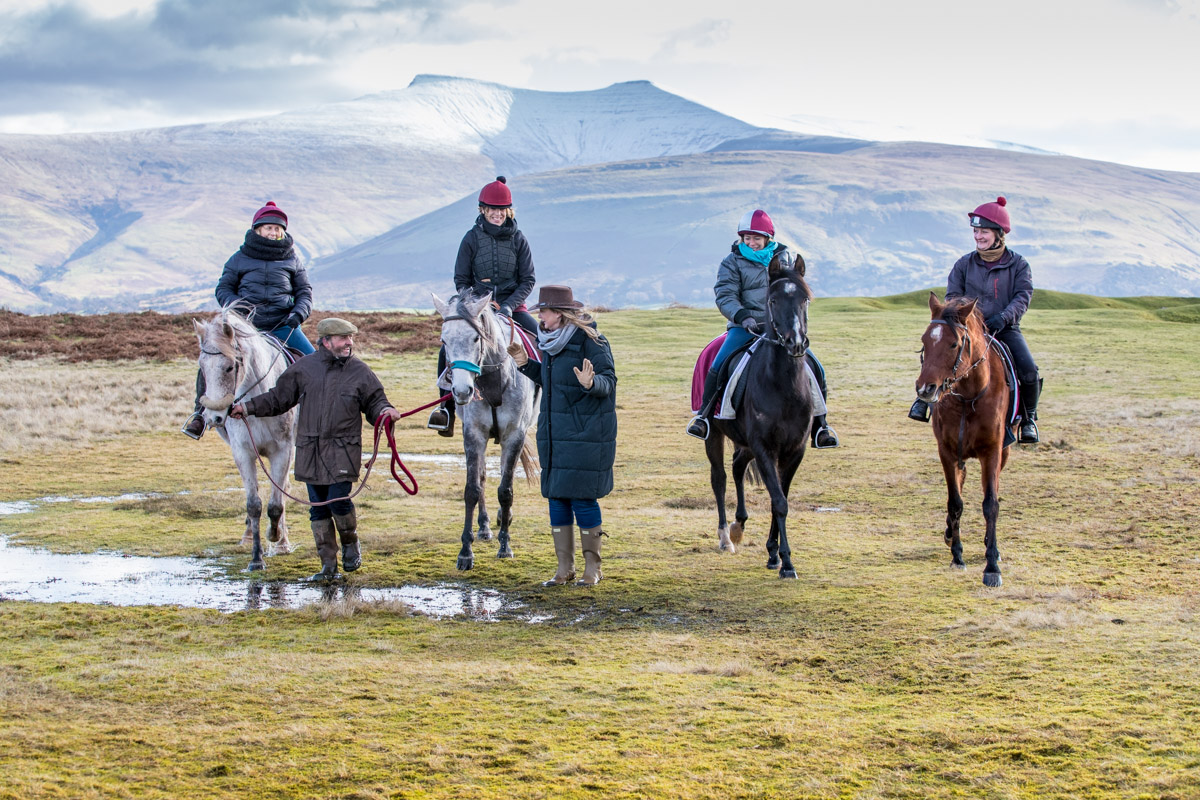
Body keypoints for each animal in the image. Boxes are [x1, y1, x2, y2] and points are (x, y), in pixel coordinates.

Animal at [192, 307, 298, 571]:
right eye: (202, 366)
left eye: (230, 367)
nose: (214, 417)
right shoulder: (242, 452)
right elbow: (254, 505)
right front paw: (256, 558)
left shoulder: (283, 451)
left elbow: (276, 503)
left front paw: (276, 537)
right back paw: (249, 535)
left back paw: (282, 540)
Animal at [431, 289, 539, 571]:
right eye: (444, 340)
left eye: (475, 337)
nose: (461, 391)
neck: (495, 379)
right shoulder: (473, 434)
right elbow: (472, 488)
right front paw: (466, 552)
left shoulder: (515, 435)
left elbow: (506, 491)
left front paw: (505, 546)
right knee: (481, 478)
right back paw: (485, 527)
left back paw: (504, 519)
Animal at [705, 255, 815, 579]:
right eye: (774, 299)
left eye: (804, 299)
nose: (796, 343)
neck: (783, 386)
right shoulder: (765, 447)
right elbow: (778, 501)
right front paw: (786, 563)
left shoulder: (794, 450)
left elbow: (782, 498)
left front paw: (774, 554)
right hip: (713, 434)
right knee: (720, 478)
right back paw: (726, 537)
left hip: (746, 443)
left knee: (738, 466)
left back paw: (739, 525)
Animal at [914, 292, 1013, 587]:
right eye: (924, 341)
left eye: (954, 343)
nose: (925, 389)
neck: (969, 396)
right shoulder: (946, 451)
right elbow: (955, 502)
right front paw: (957, 556)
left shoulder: (992, 451)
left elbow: (991, 504)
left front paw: (992, 566)